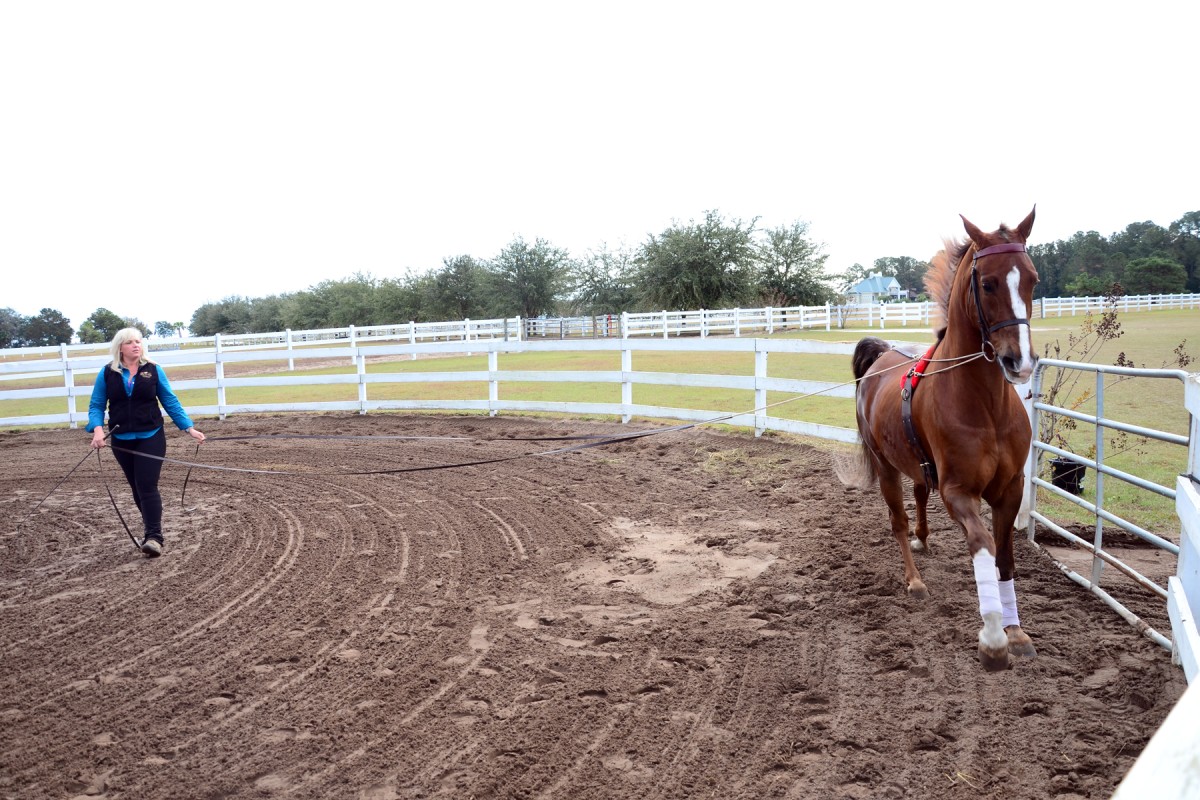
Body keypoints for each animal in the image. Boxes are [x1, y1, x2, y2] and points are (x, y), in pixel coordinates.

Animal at [849, 208, 1039, 671]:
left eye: (1032, 279)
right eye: (987, 283)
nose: (1020, 362)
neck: (985, 408)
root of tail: (881, 353)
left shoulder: (1010, 490)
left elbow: (1005, 557)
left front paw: (1016, 631)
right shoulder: (958, 493)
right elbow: (983, 544)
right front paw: (993, 637)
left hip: (914, 464)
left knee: (919, 494)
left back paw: (923, 536)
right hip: (885, 468)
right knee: (898, 521)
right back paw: (914, 578)